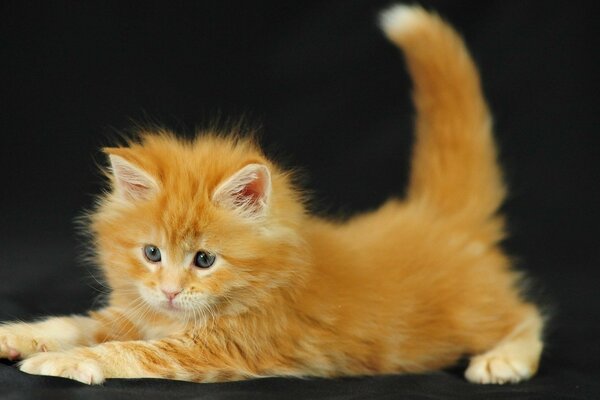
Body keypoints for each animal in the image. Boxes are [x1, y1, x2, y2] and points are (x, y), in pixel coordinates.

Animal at [0, 5, 544, 384]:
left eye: (204, 260)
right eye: (152, 253)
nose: (171, 291)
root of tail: (438, 216)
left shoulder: (223, 348)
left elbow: (129, 352)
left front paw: (63, 363)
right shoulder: (138, 313)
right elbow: (76, 323)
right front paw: (18, 336)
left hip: (471, 314)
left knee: (526, 314)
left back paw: (502, 361)